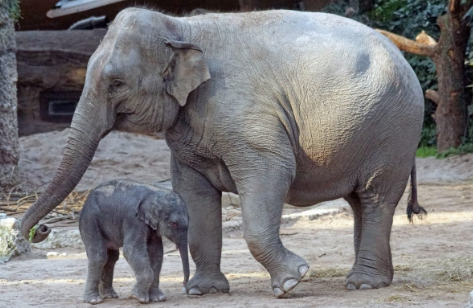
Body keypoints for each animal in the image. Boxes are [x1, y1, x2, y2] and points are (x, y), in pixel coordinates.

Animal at [19, 8, 424, 298]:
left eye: (116, 84)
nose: (36, 232)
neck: (181, 27)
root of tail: (403, 58)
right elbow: (193, 194)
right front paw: (205, 291)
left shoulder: (247, 117)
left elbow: (272, 172)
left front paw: (291, 281)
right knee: (359, 202)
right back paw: (371, 280)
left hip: (393, 129)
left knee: (375, 197)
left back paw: (364, 284)